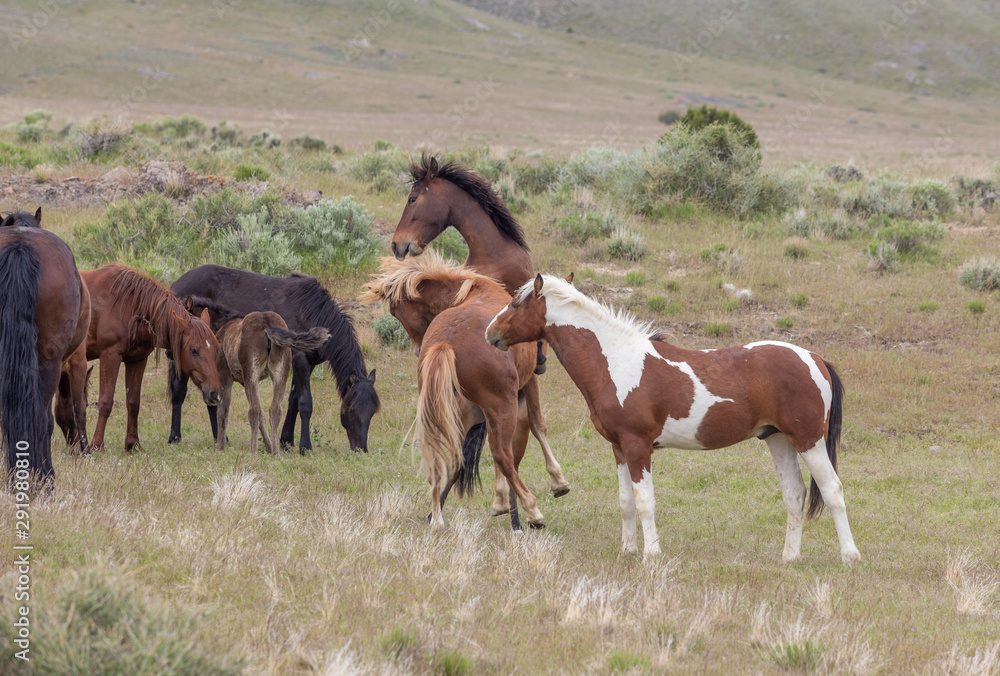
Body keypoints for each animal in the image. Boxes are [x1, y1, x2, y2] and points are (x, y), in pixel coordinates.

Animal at [75, 265, 223, 453]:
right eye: (194, 350)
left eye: (216, 349)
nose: (215, 394)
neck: (127, 304)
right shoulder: (110, 356)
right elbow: (106, 402)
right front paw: (97, 445)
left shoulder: (137, 360)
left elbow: (133, 403)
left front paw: (133, 444)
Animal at [197, 302, 330, 455]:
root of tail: (268, 325)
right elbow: (263, 414)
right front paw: (269, 448)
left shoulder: (225, 377)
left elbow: (223, 412)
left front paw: (220, 448)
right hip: (280, 373)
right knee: (275, 410)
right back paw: (276, 453)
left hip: (251, 374)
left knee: (253, 411)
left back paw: (253, 451)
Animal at [361, 250, 570, 525]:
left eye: (395, 311)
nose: (416, 348)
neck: (472, 289)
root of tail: (445, 343)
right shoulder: (526, 384)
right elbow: (537, 425)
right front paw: (557, 481)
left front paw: (500, 500)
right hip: (502, 405)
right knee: (502, 453)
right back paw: (532, 509)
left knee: (443, 457)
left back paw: (437, 517)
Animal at [486, 274, 862, 564]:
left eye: (516, 303)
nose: (490, 333)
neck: (615, 360)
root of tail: (814, 358)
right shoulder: (619, 449)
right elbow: (626, 503)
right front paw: (627, 551)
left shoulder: (638, 446)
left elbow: (645, 502)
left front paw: (651, 554)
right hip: (778, 439)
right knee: (795, 494)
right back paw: (790, 557)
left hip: (808, 440)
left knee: (832, 490)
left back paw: (850, 556)